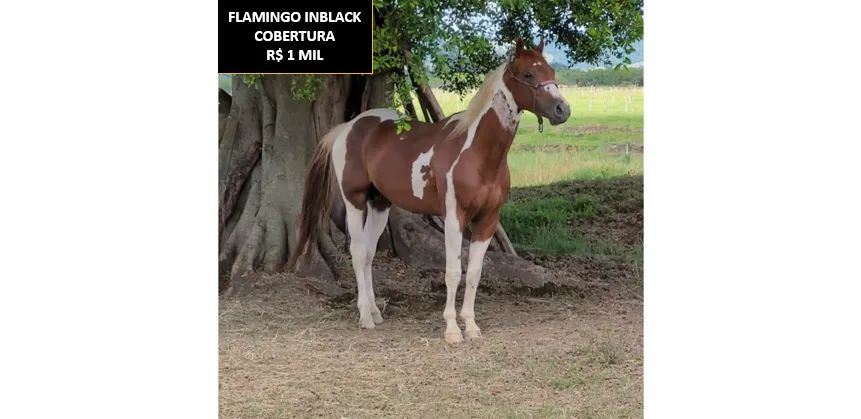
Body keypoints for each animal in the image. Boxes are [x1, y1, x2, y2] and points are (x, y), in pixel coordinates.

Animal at [287, 38, 571, 344]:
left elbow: (474, 273)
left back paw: (375, 311)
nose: (562, 110)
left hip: (379, 203)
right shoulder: (454, 217)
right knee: (359, 251)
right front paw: (452, 329)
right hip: (356, 199)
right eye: (529, 74)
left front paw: (471, 326)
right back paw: (365, 316)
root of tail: (348, 128)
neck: (477, 152)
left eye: (551, 71)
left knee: (370, 253)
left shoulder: (488, 219)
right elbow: (452, 272)